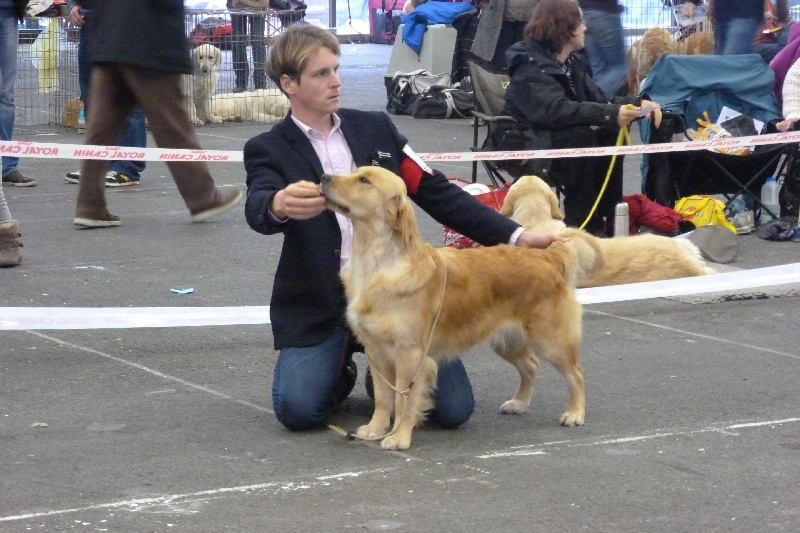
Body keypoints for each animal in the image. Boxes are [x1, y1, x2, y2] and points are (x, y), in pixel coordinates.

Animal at [322, 165, 604, 448]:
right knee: (532, 365)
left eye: (364, 180)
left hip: (550, 339)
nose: (323, 178)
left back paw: (575, 413)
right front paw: (375, 428)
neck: (377, 262)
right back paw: (519, 403)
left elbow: (403, 400)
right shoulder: (376, 349)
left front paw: (398, 436)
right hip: (505, 340)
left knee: (576, 373)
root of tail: (546, 255)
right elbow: (382, 398)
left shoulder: (410, 354)